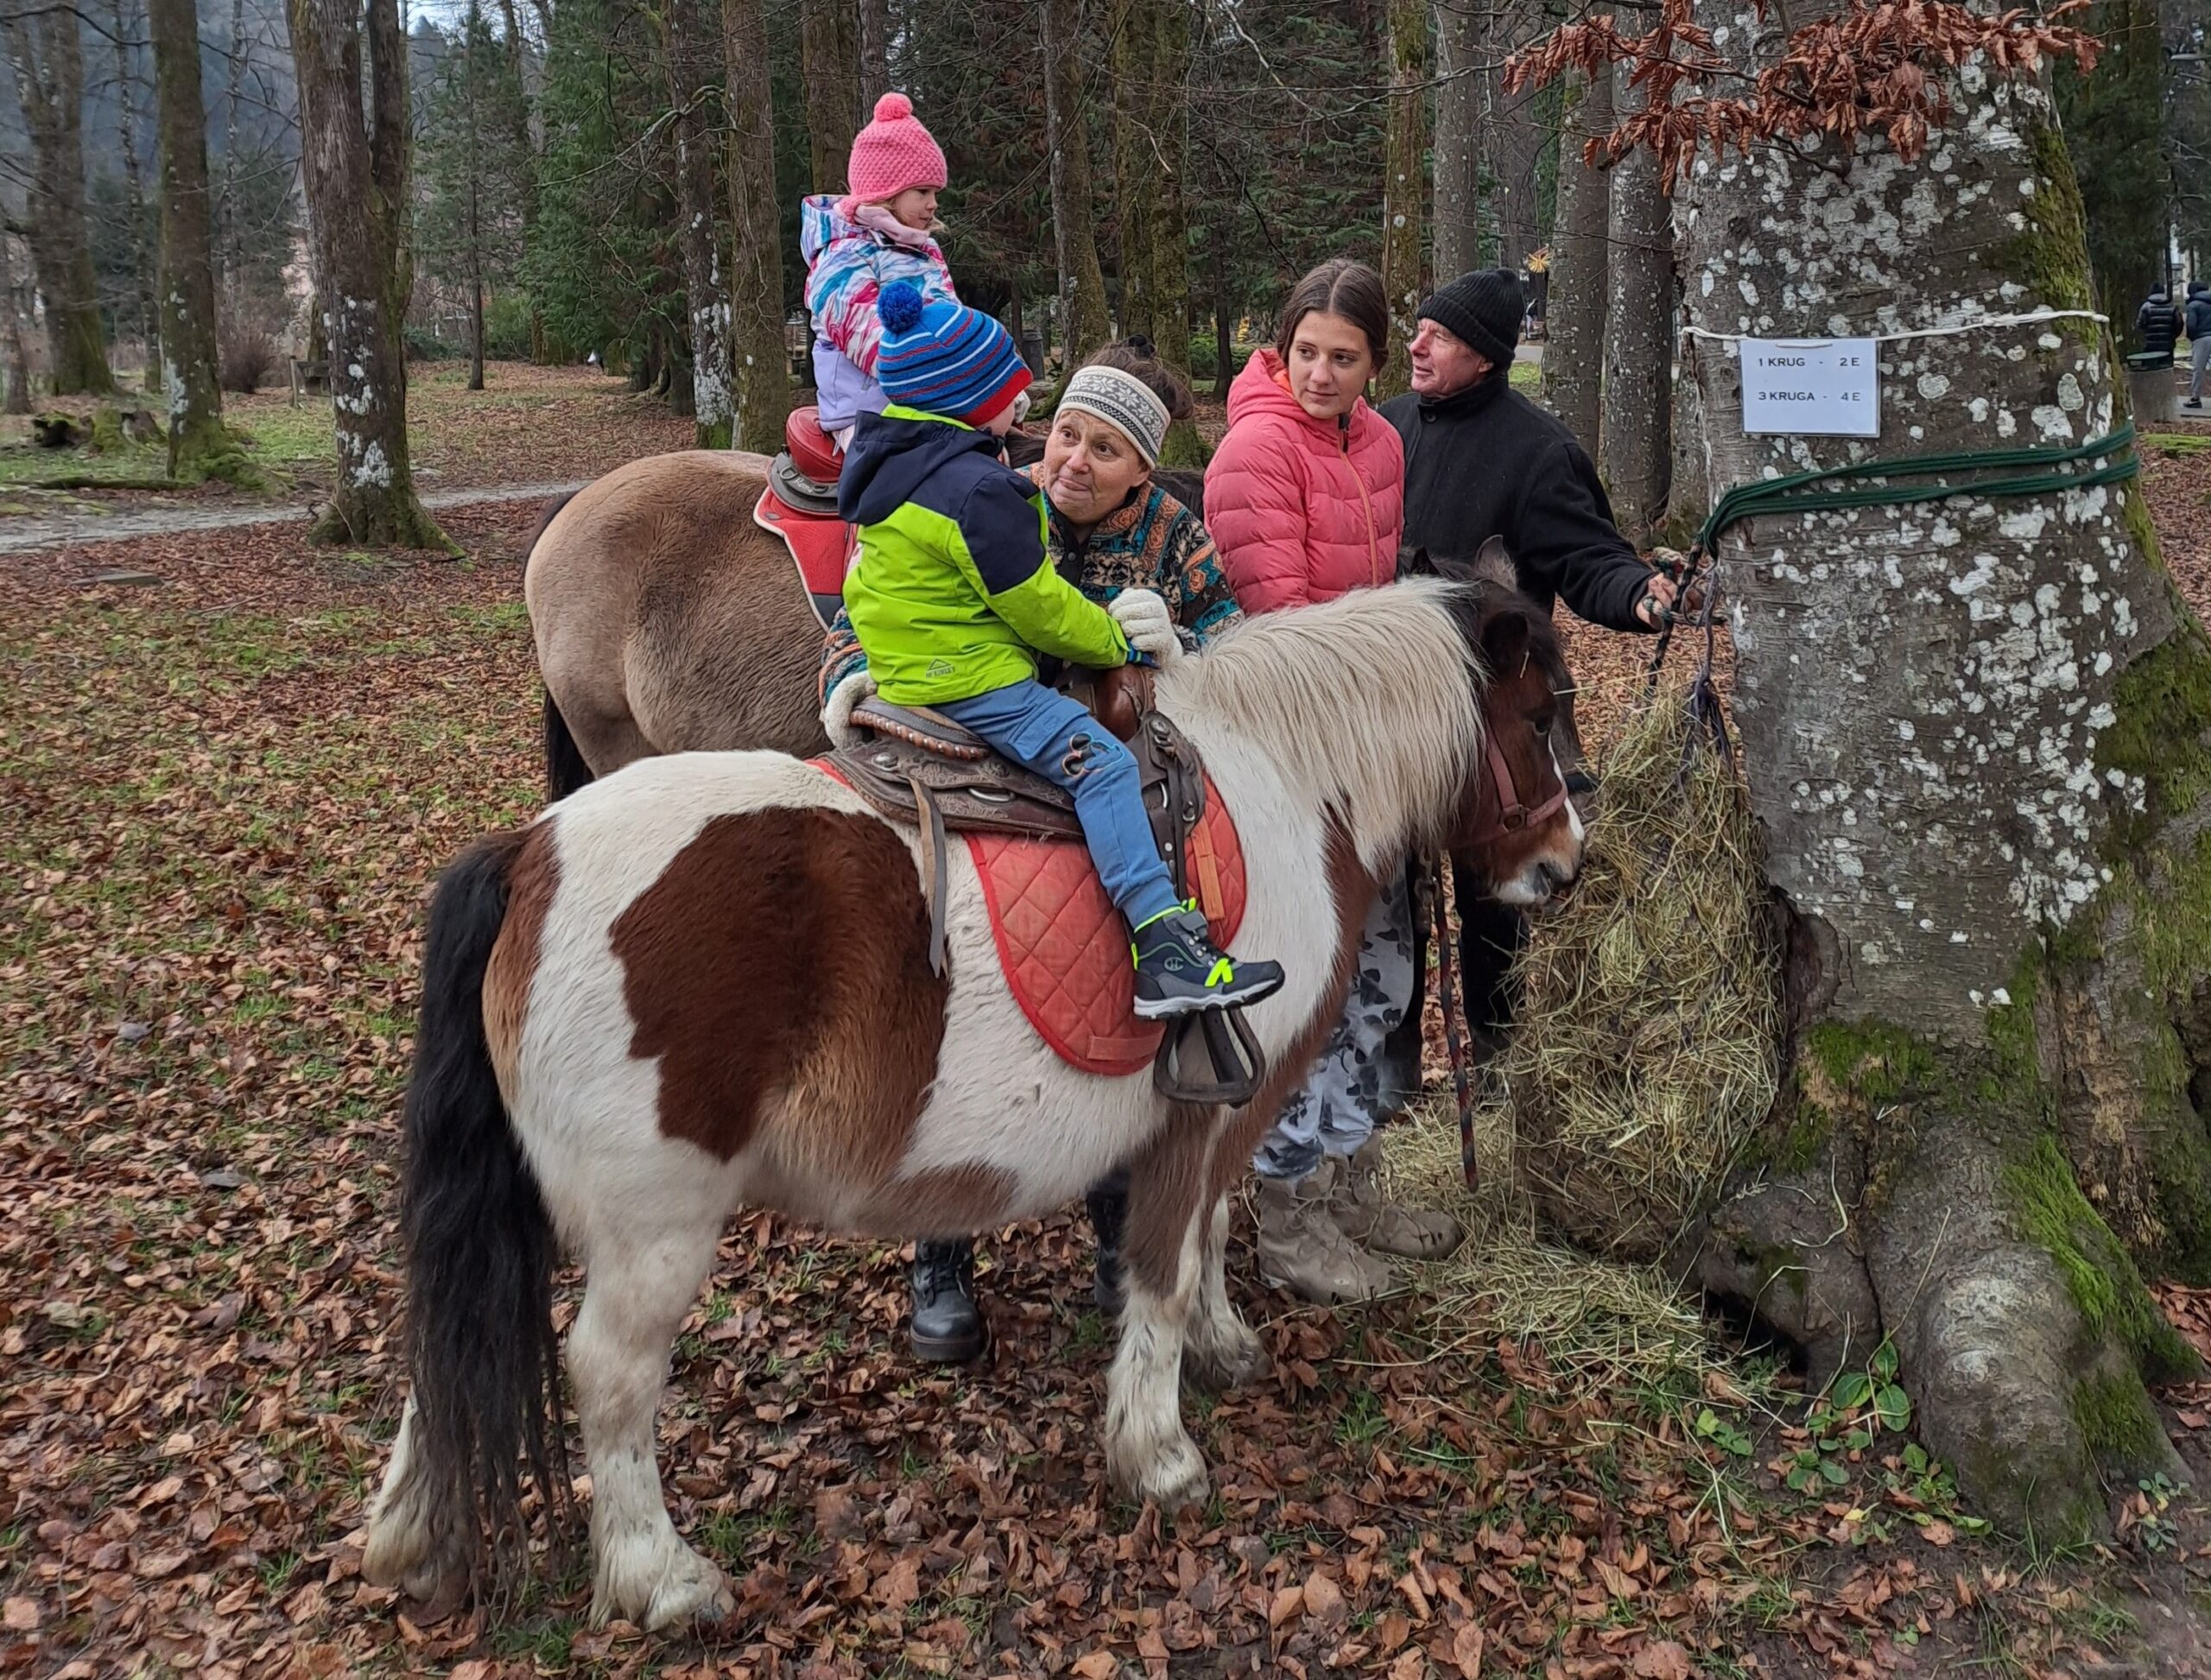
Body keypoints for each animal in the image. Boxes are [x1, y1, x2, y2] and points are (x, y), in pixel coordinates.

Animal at [362, 574, 1582, 1626]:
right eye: (1536, 719)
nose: (1564, 867)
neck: (1280, 782)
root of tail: (527, 856)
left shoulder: (1213, 1117)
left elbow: (1208, 1237)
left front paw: (1224, 1348)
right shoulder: (1203, 1116)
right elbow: (1165, 1269)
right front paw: (1158, 1452)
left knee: (445, 1340)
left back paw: (415, 1542)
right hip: (649, 1230)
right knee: (609, 1377)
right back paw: (658, 1577)